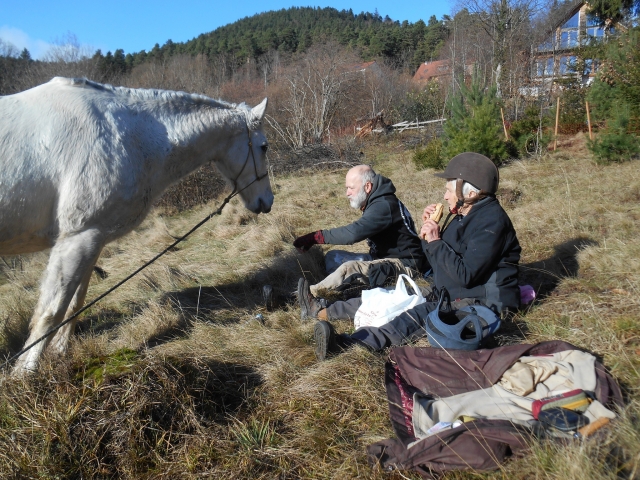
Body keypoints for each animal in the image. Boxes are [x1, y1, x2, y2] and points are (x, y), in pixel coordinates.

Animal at [0, 77, 274, 373]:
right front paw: (25, 374)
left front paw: (60, 353)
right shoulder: (77, 237)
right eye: (264, 146)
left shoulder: (92, 238)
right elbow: (51, 312)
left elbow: (74, 303)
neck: (124, 135)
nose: (267, 201)